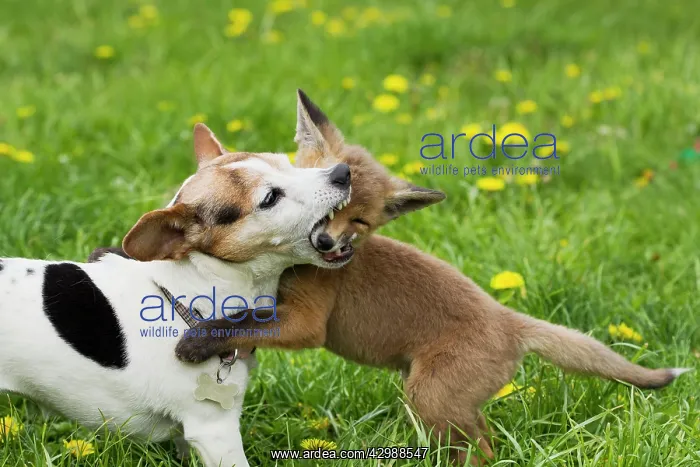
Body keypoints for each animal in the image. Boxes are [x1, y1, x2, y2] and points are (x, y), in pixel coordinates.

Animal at [153, 91, 690, 464]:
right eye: (324, 200)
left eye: (359, 221)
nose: (329, 245)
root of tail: (511, 320)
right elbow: (245, 321)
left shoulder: (308, 324)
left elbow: (241, 321)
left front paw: (197, 342)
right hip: (444, 399)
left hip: (430, 396)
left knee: (482, 450)